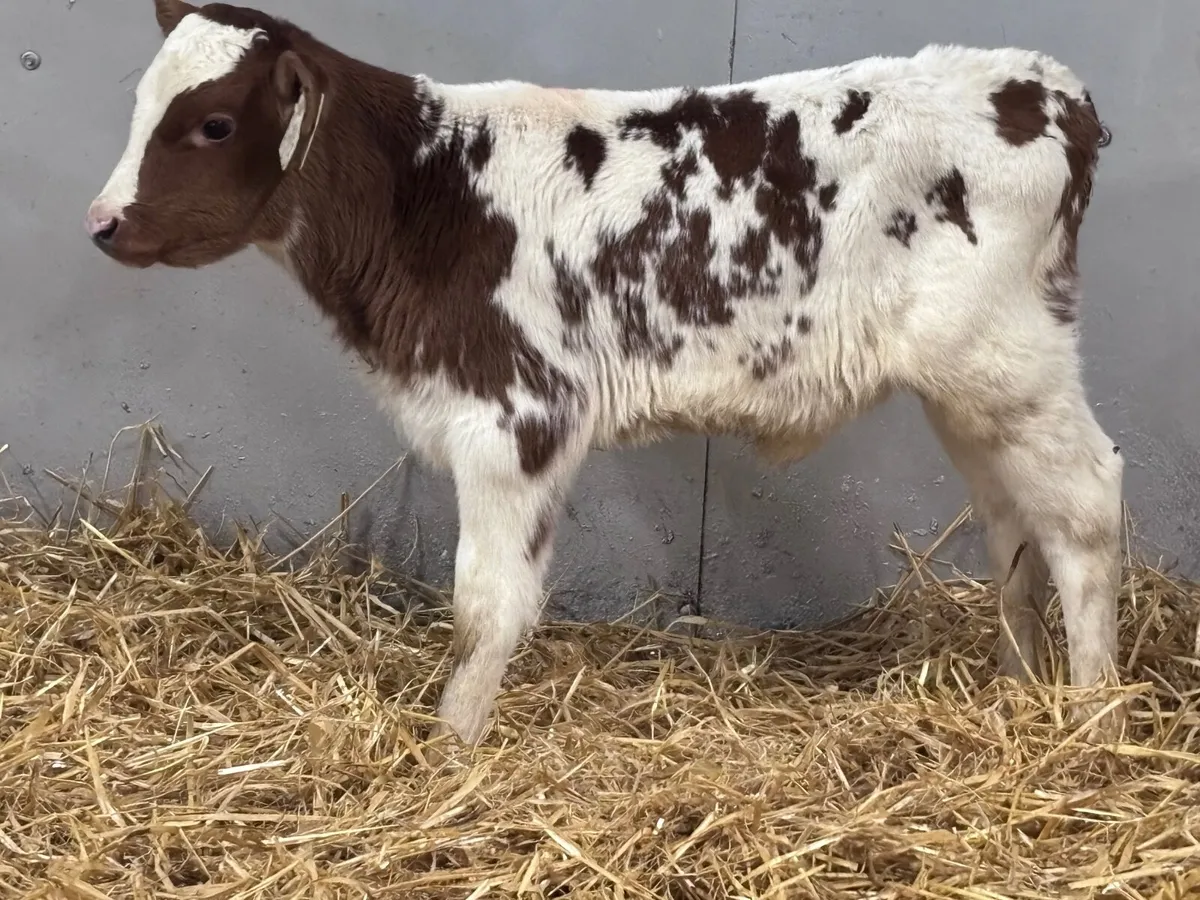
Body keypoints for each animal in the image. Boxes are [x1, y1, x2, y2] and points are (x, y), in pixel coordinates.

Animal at [85, 0, 1126, 747]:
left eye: (215, 124)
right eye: (138, 108)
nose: (102, 223)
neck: (430, 192)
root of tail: (1049, 87)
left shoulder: (519, 415)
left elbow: (486, 606)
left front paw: (450, 751)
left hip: (1009, 360)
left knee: (1083, 503)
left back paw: (1093, 715)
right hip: (974, 389)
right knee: (1011, 517)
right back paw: (1021, 686)